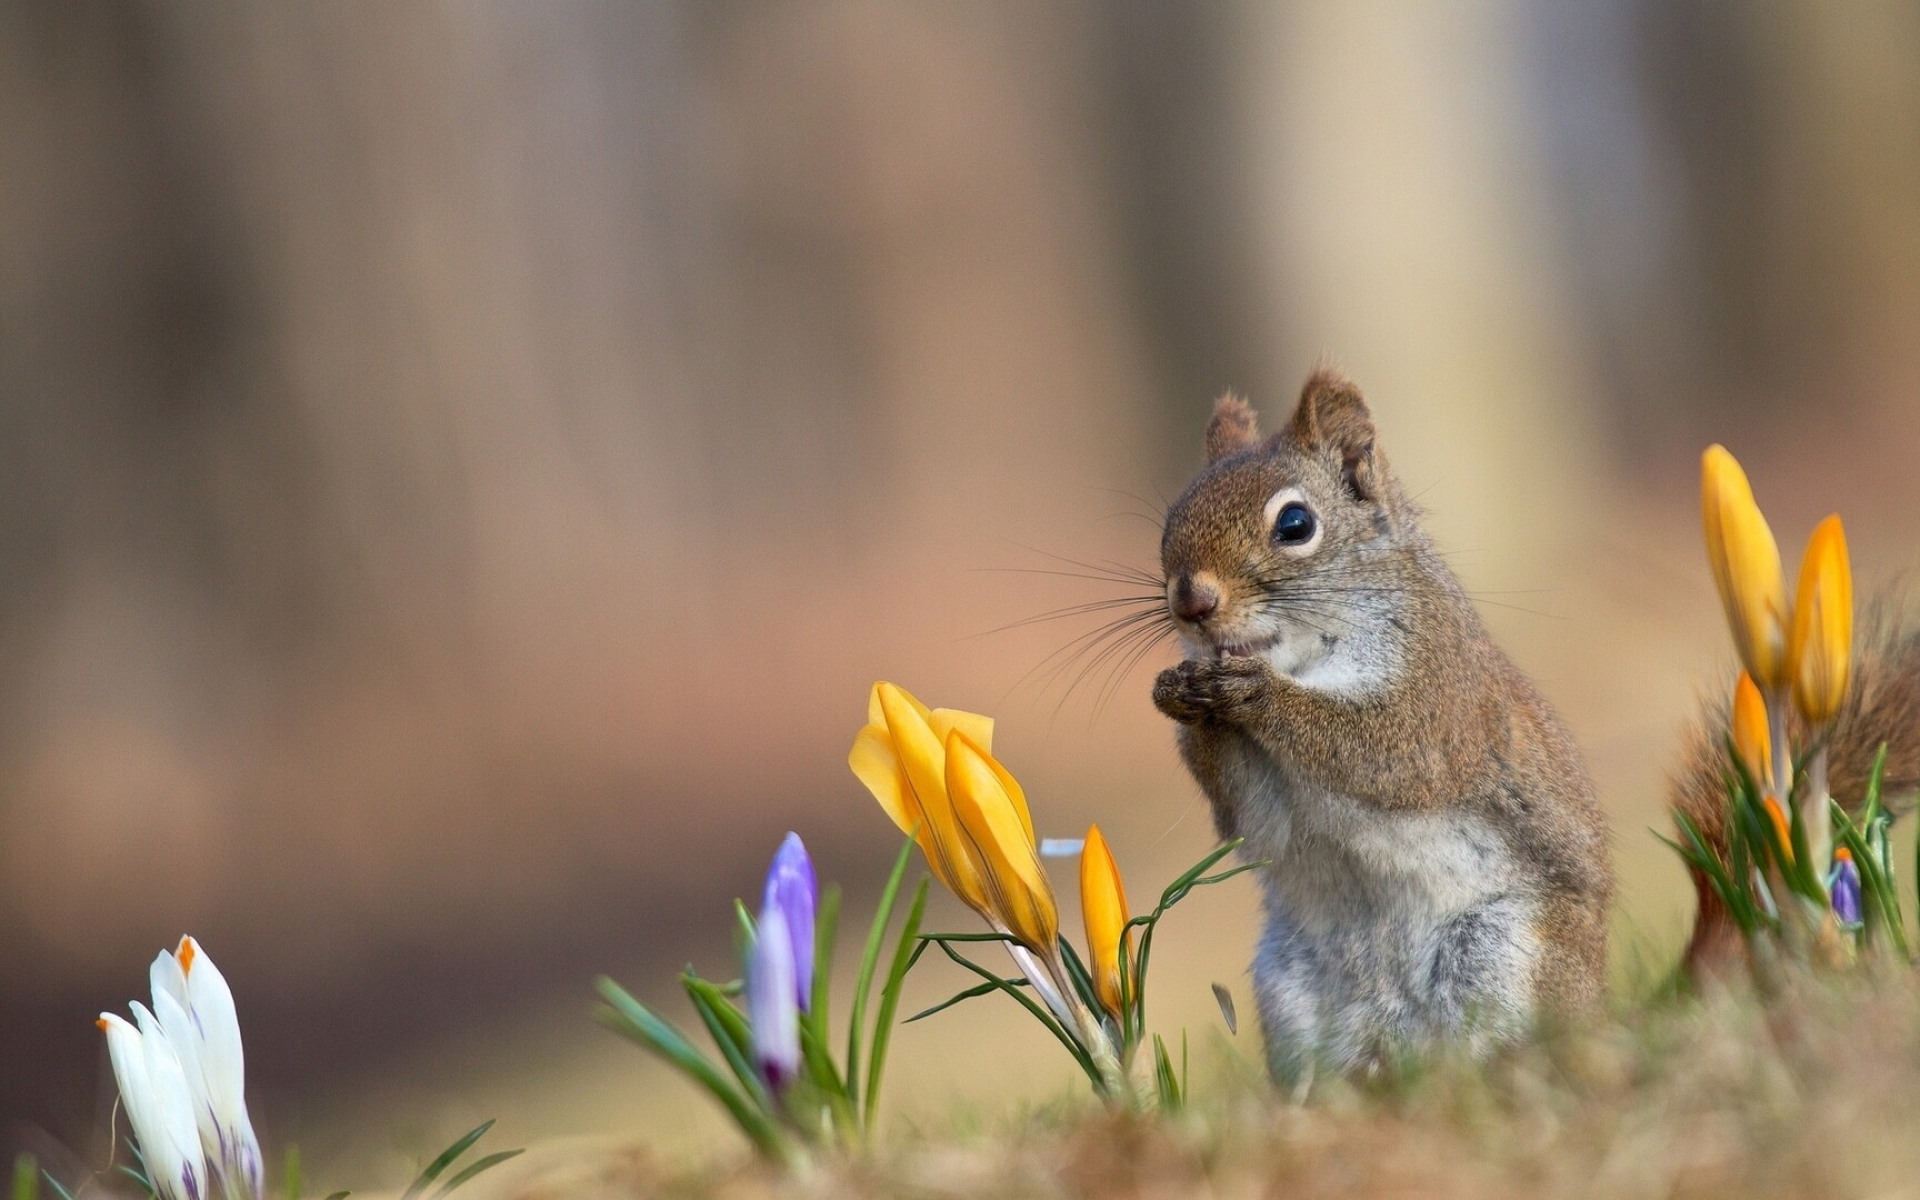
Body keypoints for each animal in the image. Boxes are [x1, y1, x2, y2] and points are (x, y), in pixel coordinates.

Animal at [1144, 370, 1612, 1082]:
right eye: (1171, 522)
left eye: (1296, 524)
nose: (1191, 602)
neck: (1303, 657)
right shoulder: (1265, 808)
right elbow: (1256, 818)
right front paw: (1182, 695)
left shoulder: (1437, 696)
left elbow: (1381, 753)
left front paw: (1257, 694)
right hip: (1290, 994)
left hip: (1506, 957)